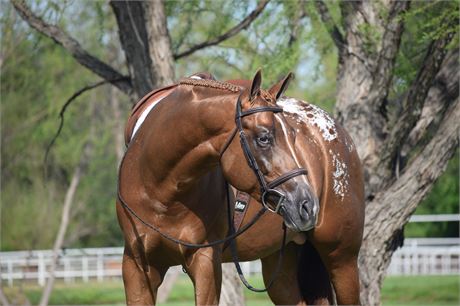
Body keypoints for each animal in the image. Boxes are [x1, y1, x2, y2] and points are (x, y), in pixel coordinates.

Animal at [117, 71, 362, 304]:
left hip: (342, 259)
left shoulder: (205, 262)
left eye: (293, 135)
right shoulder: (136, 266)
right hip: (281, 264)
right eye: (264, 138)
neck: (161, 191)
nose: (308, 206)